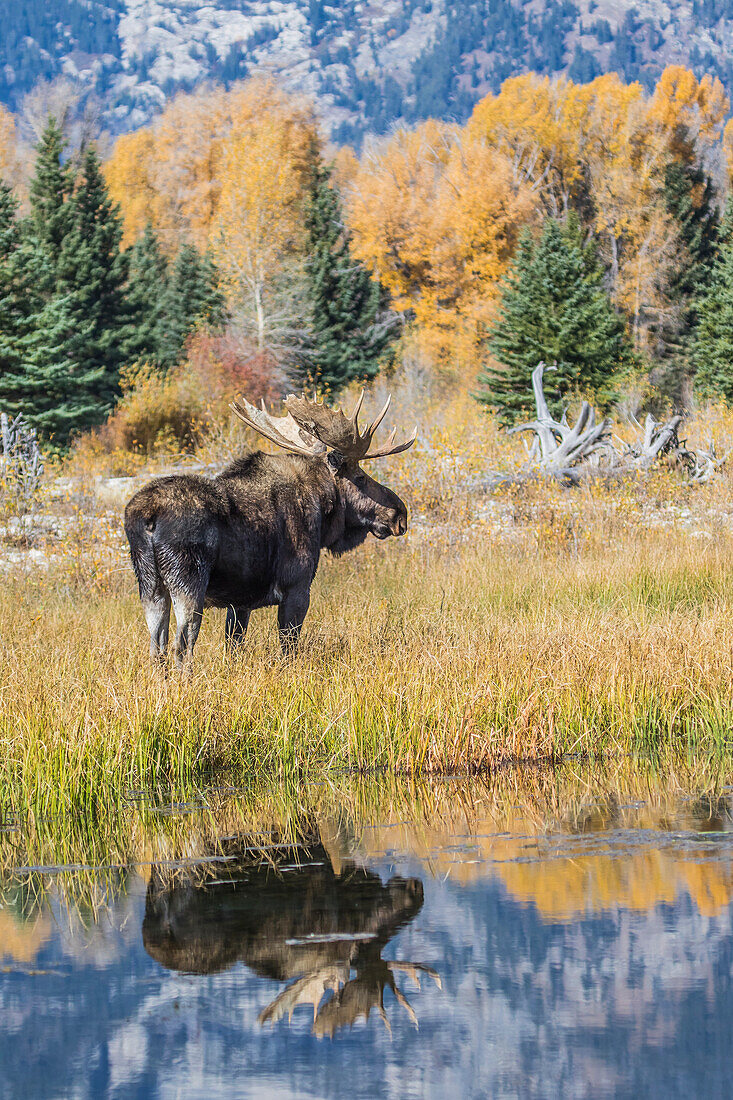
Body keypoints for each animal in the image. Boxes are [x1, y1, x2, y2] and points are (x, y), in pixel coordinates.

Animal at [122, 391, 413, 664]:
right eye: (361, 477)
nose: (400, 514)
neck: (322, 510)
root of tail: (146, 515)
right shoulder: (296, 586)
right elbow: (288, 648)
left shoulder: (240, 602)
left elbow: (233, 645)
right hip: (188, 583)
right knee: (181, 648)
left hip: (150, 586)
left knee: (156, 649)